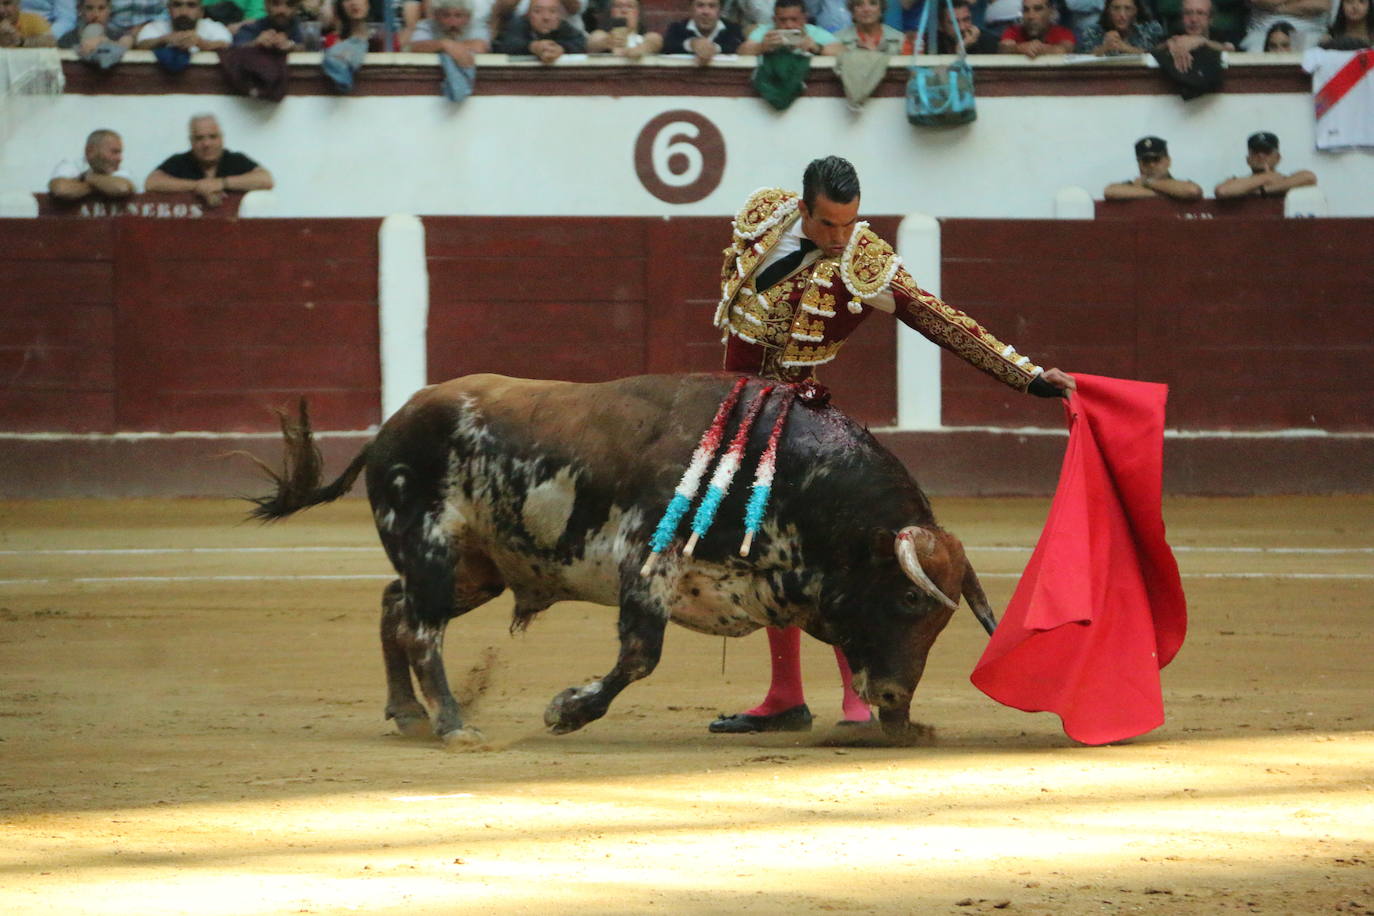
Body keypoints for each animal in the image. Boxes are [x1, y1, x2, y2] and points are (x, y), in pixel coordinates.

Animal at [247, 376, 994, 741]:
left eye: (942, 619)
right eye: (908, 598)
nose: (896, 697)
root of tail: (390, 426)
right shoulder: (643, 563)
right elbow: (640, 656)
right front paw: (567, 711)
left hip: (472, 569)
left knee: (394, 608)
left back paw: (406, 714)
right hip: (431, 546)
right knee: (422, 631)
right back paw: (453, 724)